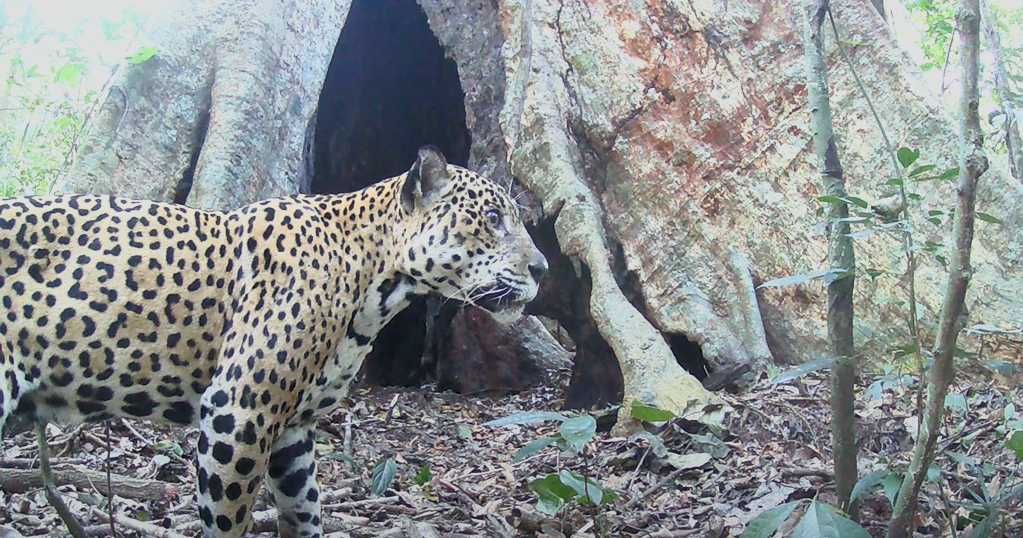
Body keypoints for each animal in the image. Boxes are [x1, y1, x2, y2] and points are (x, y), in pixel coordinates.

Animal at [0, 146, 548, 538]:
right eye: (493, 218)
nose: (542, 268)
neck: (374, 283)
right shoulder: (238, 411)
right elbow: (227, 521)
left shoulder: (292, 431)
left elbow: (304, 513)